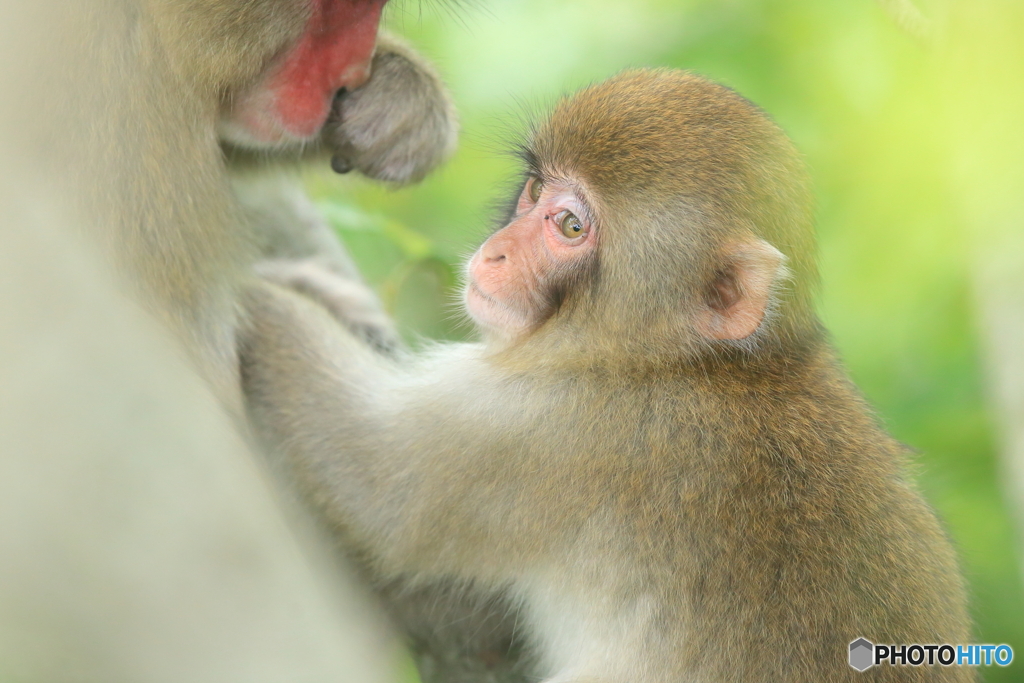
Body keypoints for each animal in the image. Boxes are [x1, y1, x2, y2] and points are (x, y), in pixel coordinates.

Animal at [239, 70, 974, 683]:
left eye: (569, 225)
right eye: (536, 189)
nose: (495, 253)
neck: (683, 361)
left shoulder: (558, 426)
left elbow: (374, 477)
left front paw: (249, 294)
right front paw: (320, 290)